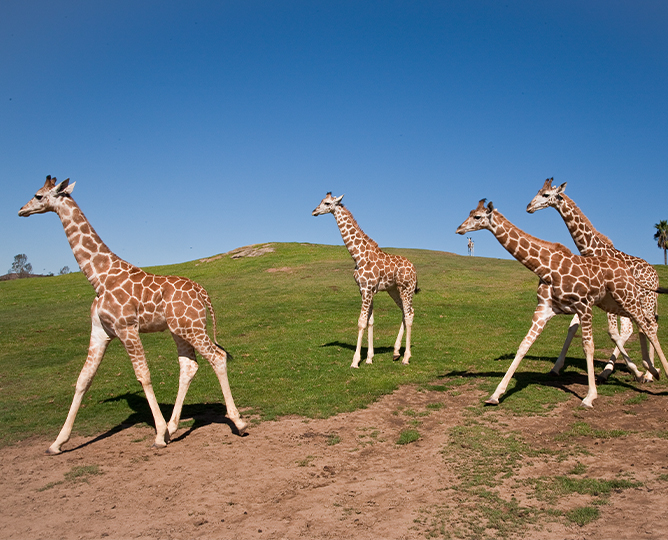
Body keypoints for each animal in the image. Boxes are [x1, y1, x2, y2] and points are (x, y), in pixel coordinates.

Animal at [19, 175, 247, 454]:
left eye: (38, 196)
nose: (21, 210)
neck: (98, 278)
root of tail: (202, 292)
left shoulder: (127, 328)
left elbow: (144, 376)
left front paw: (158, 435)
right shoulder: (100, 332)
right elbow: (84, 378)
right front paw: (57, 443)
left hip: (193, 326)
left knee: (217, 357)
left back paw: (238, 422)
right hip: (179, 329)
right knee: (189, 366)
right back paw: (174, 427)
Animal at [312, 193, 418, 368]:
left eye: (326, 203)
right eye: (320, 201)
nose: (314, 211)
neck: (358, 255)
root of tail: (415, 270)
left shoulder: (367, 289)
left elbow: (361, 322)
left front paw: (355, 361)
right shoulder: (365, 290)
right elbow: (370, 321)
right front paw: (369, 358)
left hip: (406, 289)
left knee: (409, 315)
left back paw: (406, 357)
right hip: (394, 290)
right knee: (406, 312)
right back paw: (396, 352)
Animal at [454, 200, 668, 408]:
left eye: (477, 216)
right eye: (470, 212)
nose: (459, 229)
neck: (546, 267)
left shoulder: (584, 306)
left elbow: (588, 346)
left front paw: (589, 397)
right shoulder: (544, 310)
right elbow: (524, 344)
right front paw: (495, 395)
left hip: (629, 298)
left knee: (648, 326)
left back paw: (655, 372)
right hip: (614, 304)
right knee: (642, 326)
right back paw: (647, 371)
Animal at [528, 179, 664, 382]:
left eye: (545, 195)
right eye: (537, 191)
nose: (529, 207)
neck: (592, 250)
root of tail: (655, 274)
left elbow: (613, 332)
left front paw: (637, 370)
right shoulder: (586, 297)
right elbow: (573, 327)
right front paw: (556, 368)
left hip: (646, 300)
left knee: (650, 326)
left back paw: (647, 372)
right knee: (640, 327)